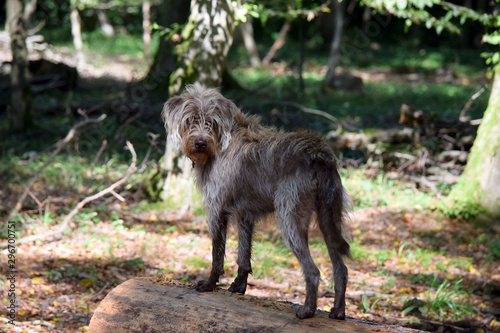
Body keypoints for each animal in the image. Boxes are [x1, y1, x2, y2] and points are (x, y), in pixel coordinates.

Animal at [162, 85, 350, 320]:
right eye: (190, 120)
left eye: (212, 122)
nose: (200, 143)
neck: (221, 142)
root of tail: (318, 152)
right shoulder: (245, 215)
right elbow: (244, 255)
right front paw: (238, 286)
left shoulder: (217, 211)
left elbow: (217, 255)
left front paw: (209, 284)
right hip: (329, 220)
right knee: (341, 268)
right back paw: (338, 311)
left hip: (290, 221)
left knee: (313, 271)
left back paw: (307, 311)